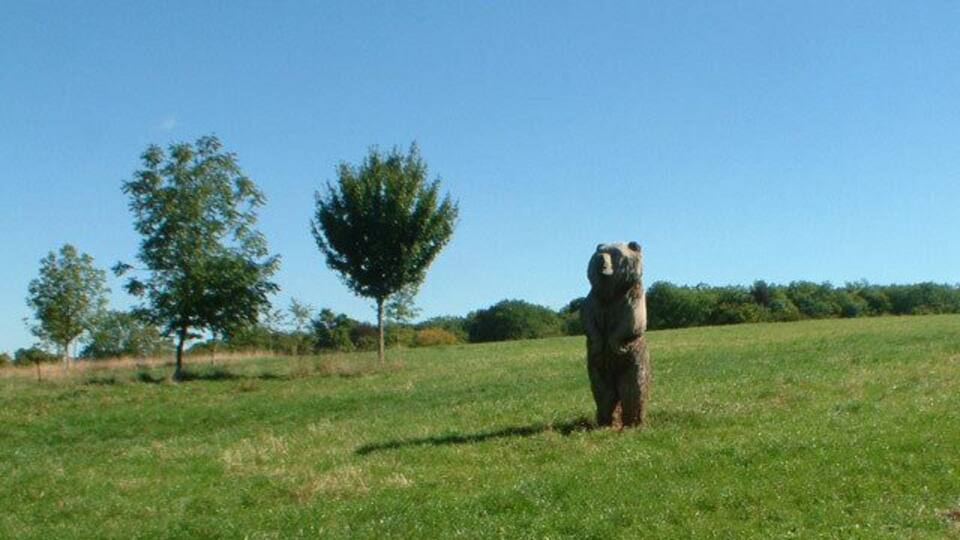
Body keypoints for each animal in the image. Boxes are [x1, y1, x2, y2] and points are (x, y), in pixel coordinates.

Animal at [581, 241, 651, 427]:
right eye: (600, 250)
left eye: (615, 253)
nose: (599, 258)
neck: (610, 294)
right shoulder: (593, 299)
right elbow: (587, 319)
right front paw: (598, 343)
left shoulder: (634, 294)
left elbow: (633, 320)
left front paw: (614, 343)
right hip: (596, 367)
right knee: (603, 392)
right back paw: (607, 422)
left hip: (634, 360)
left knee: (632, 390)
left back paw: (632, 423)